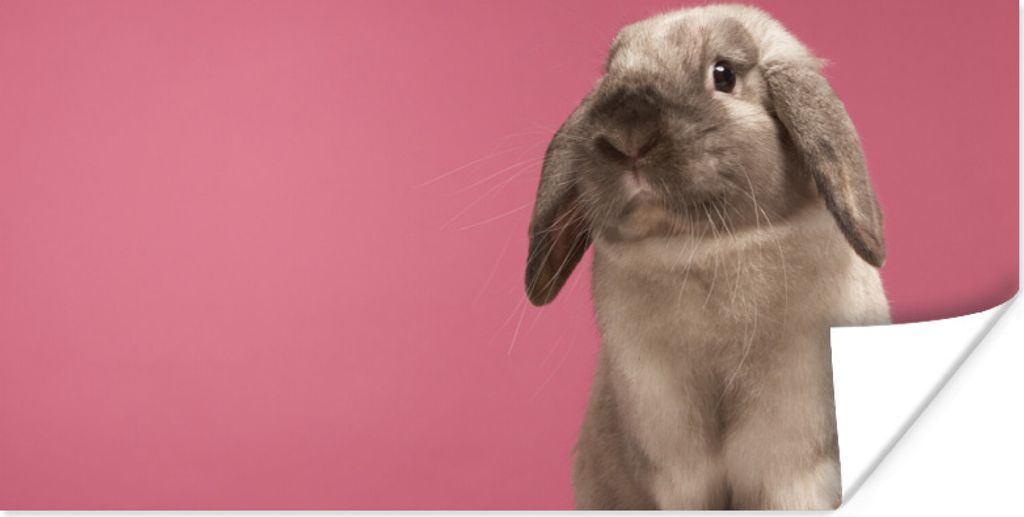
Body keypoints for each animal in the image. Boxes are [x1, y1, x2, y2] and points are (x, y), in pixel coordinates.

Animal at [523, 4, 890, 510]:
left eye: (724, 74)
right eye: (610, 74)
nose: (627, 135)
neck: (705, 248)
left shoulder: (793, 468)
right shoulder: (675, 468)